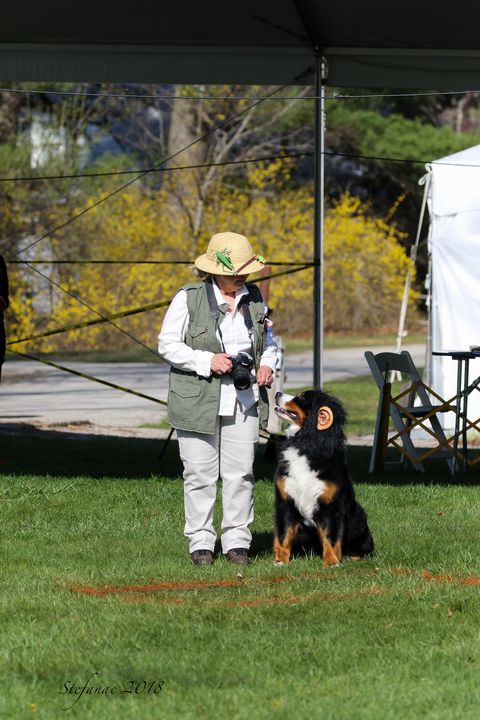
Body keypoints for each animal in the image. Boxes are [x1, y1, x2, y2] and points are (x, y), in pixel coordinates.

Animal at [272, 390, 374, 564]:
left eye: (301, 397)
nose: (277, 393)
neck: (306, 444)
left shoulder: (331, 505)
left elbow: (331, 536)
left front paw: (332, 562)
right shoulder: (285, 501)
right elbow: (284, 534)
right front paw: (280, 561)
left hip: (359, 517)